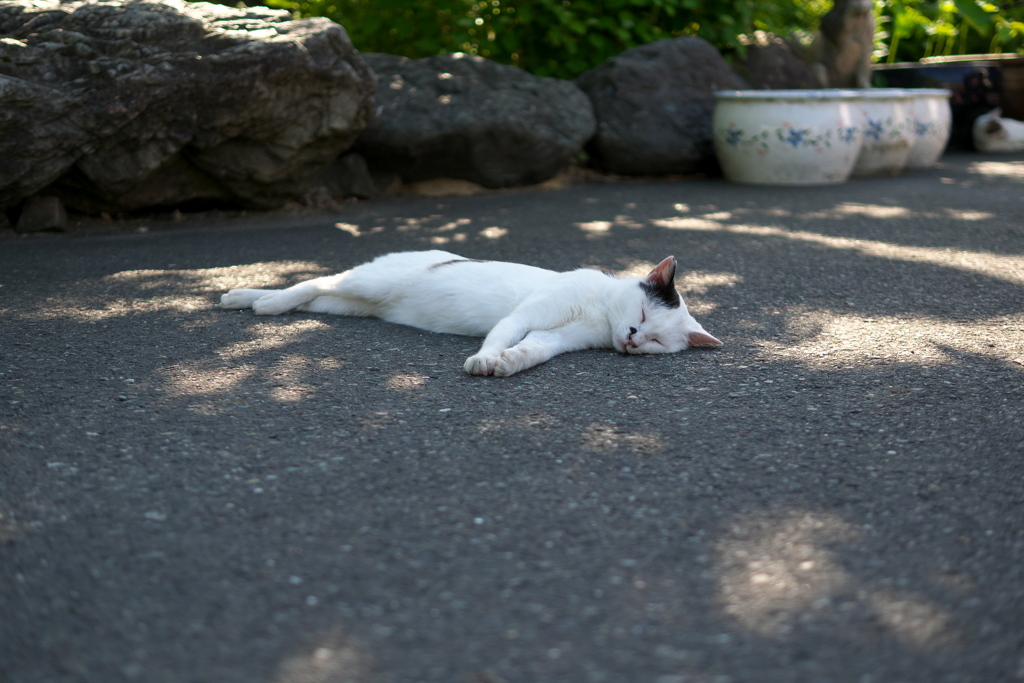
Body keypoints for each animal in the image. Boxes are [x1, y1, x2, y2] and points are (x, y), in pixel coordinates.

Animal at [221, 250, 724, 376]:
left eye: (656, 341)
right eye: (642, 312)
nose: (633, 337)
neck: (599, 315)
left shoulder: (555, 338)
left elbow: (529, 350)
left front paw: (508, 364)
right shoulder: (529, 313)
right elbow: (501, 334)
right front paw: (484, 359)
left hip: (353, 304)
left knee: (314, 297)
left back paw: (247, 298)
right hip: (368, 283)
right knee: (316, 281)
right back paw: (256, 300)